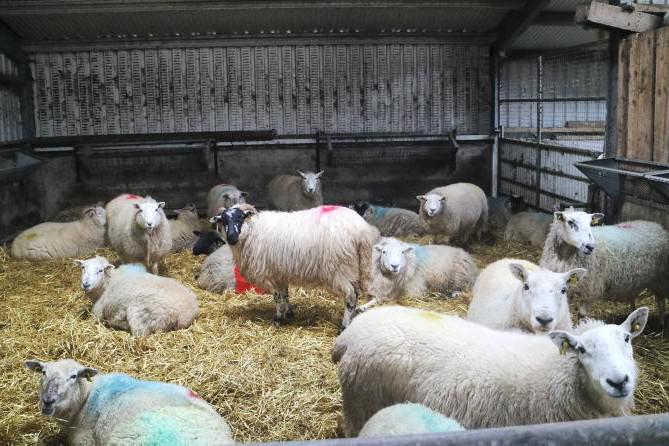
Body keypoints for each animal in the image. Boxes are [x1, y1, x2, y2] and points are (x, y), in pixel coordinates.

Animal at [210, 203, 379, 328]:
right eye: (223, 221)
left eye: (240, 217)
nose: (231, 237)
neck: (253, 230)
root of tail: (362, 231)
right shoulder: (280, 272)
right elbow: (285, 294)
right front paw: (289, 313)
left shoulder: (270, 273)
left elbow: (277, 297)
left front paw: (278, 319)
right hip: (354, 267)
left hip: (339, 268)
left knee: (351, 296)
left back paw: (344, 325)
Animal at [539, 208, 669, 326]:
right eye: (571, 222)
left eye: (590, 223)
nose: (590, 246)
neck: (565, 257)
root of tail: (656, 226)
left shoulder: (591, 289)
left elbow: (582, 315)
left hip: (660, 278)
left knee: (660, 300)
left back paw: (661, 323)